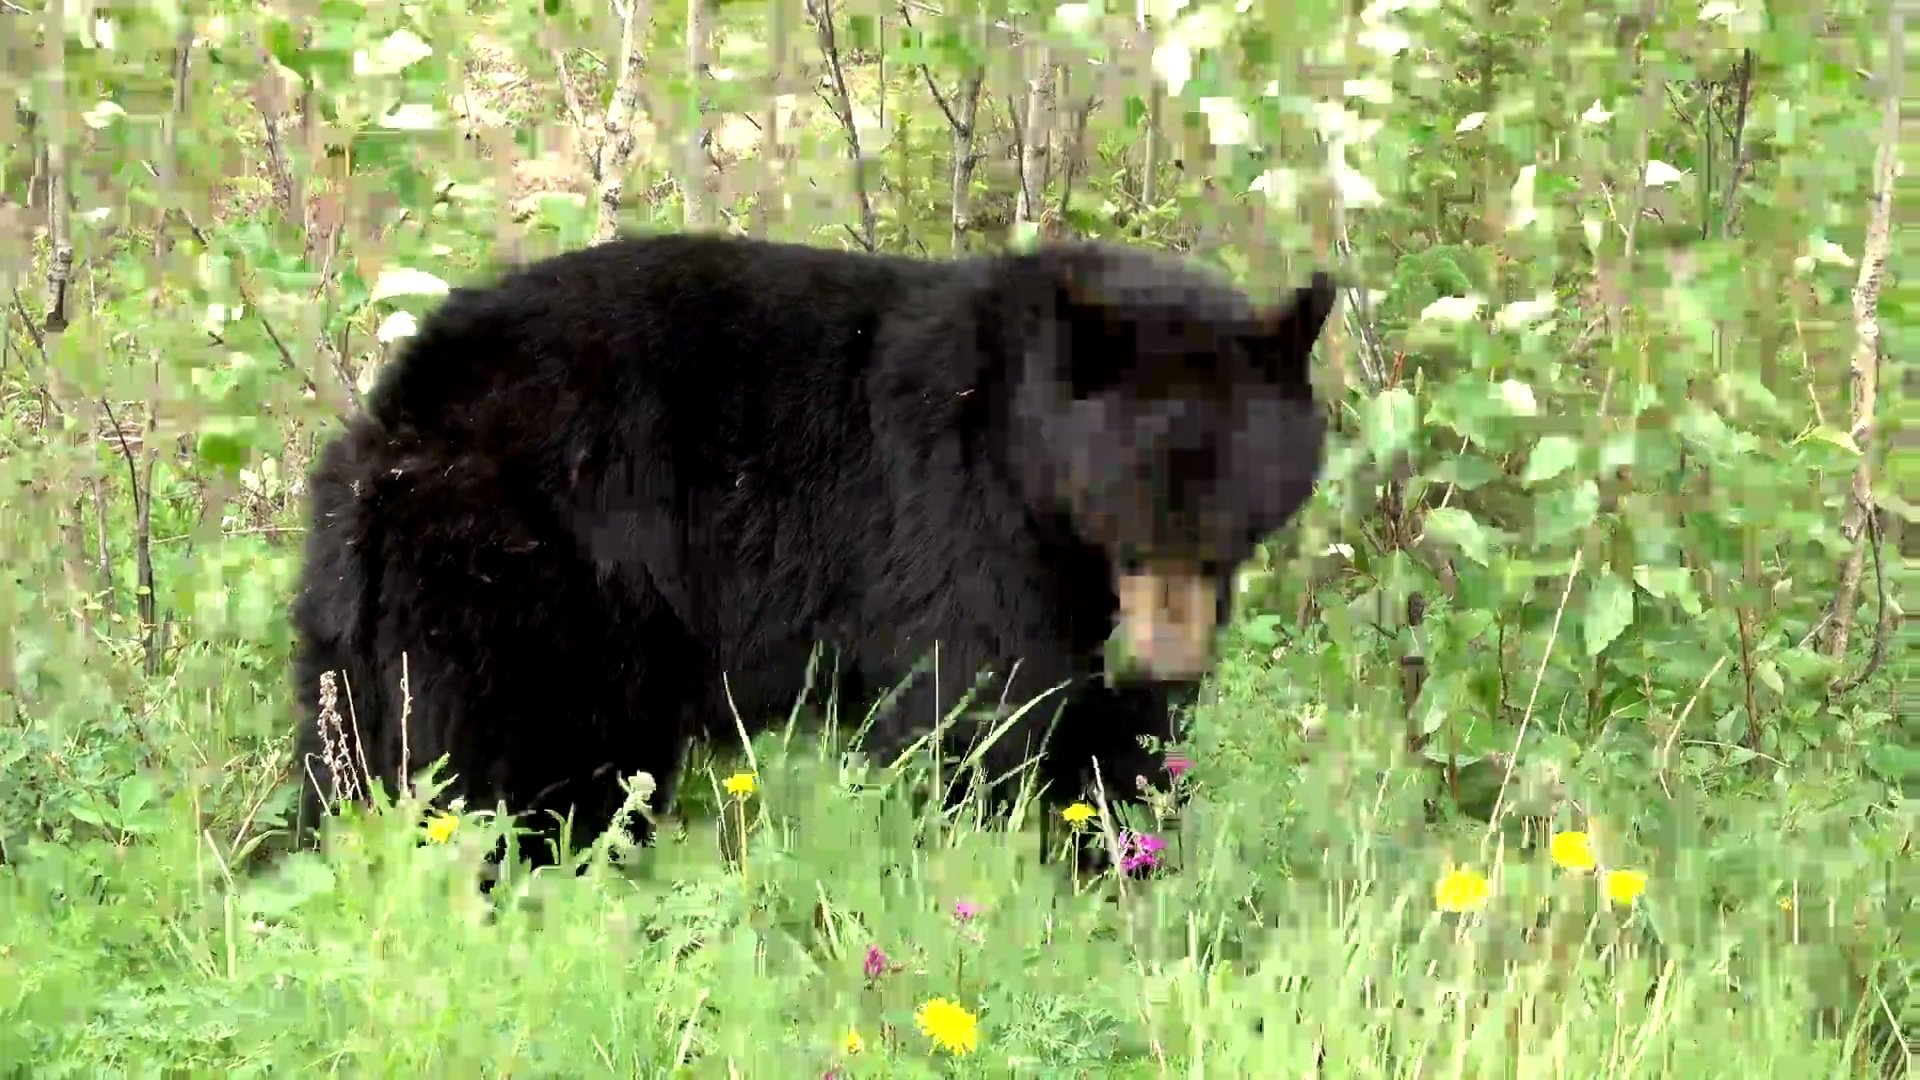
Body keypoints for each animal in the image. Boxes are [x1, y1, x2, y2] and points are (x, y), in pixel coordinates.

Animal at [291, 231, 1336, 868]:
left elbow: (1110, 737)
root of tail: (396, 417)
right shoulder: (960, 521)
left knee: (359, 750)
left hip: (366, 610)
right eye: (1128, 511)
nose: (1163, 657)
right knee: (508, 764)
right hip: (524, 583)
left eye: (1231, 528)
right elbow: (974, 709)